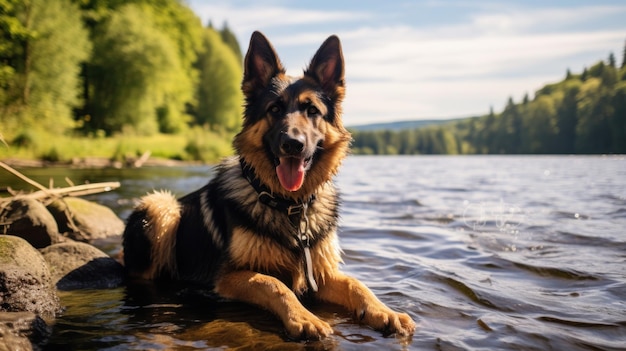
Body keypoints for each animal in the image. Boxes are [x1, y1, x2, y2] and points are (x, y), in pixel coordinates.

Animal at [122, 31, 414, 340]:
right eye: (274, 109)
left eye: (312, 110)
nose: (293, 144)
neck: (289, 206)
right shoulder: (230, 277)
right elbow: (276, 285)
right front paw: (304, 317)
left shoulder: (320, 274)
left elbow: (357, 284)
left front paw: (385, 311)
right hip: (160, 206)